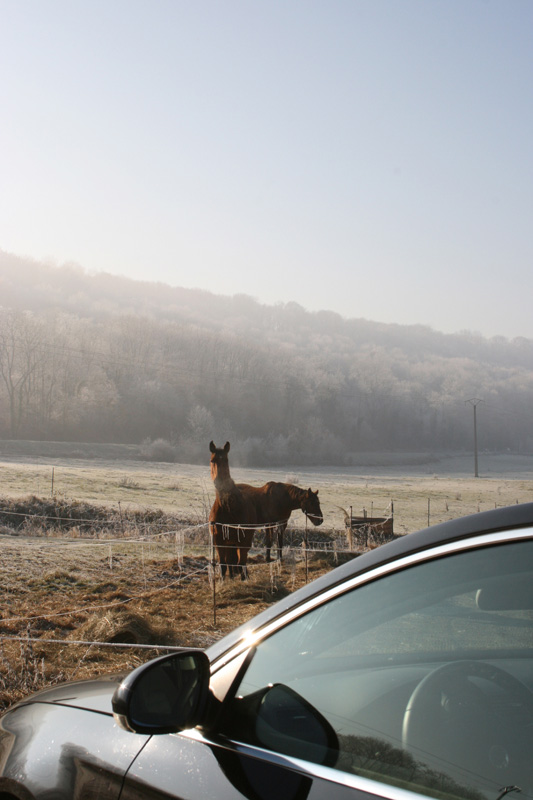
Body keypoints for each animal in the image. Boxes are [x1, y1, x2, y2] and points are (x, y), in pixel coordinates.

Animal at [209, 440, 322, 580]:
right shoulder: (272, 523)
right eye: (312, 502)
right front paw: (272, 559)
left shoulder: (280, 523)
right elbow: (272, 541)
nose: (320, 520)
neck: (282, 498)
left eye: (317, 502)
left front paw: (275, 559)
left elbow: (277, 541)